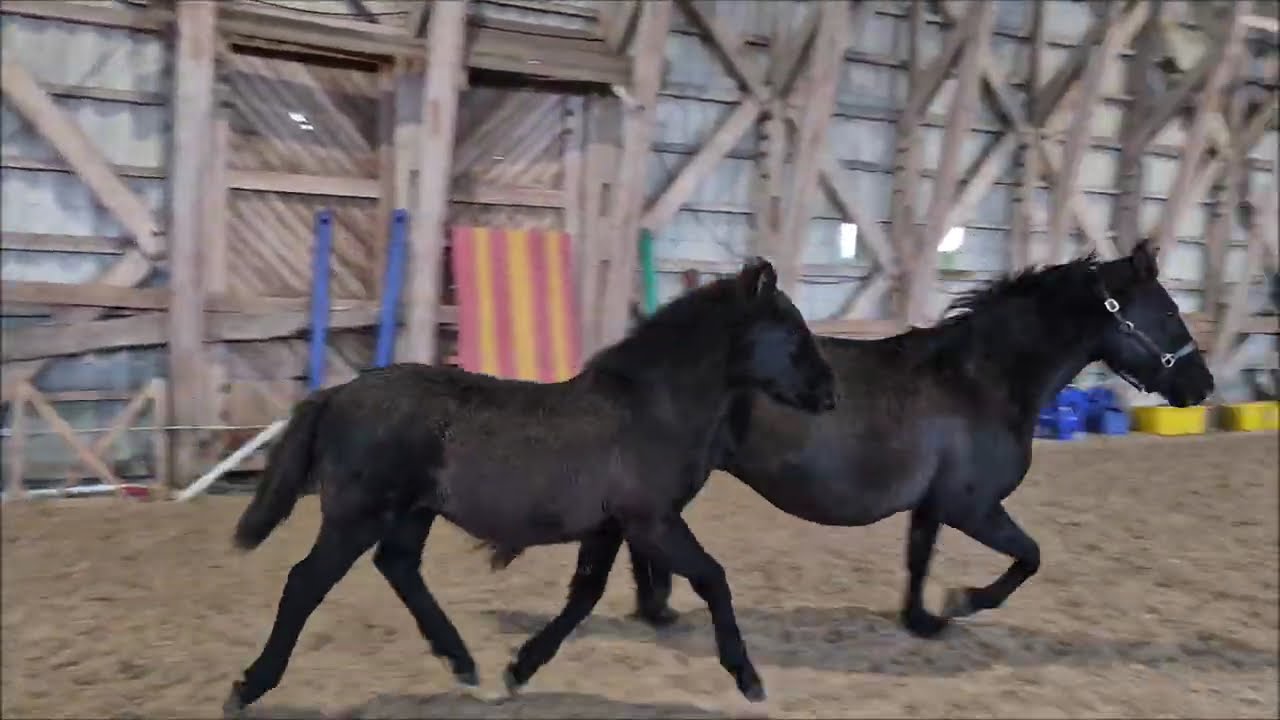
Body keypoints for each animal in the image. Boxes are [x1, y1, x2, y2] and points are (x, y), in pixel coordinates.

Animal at [222, 257, 837, 715]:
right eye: (791, 331)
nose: (830, 395)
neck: (649, 408)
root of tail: (336, 394)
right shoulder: (653, 522)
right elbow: (713, 579)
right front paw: (749, 679)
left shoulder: (611, 528)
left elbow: (584, 596)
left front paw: (519, 669)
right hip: (357, 515)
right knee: (306, 583)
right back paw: (248, 686)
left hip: (411, 513)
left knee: (397, 567)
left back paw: (464, 664)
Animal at [625, 239, 1214, 638]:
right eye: (1168, 312)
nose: (1202, 385)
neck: (981, 380)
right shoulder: (972, 507)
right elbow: (1029, 557)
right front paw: (961, 603)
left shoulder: (932, 505)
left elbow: (918, 560)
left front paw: (920, 619)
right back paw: (657, 607)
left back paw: (656, 607)